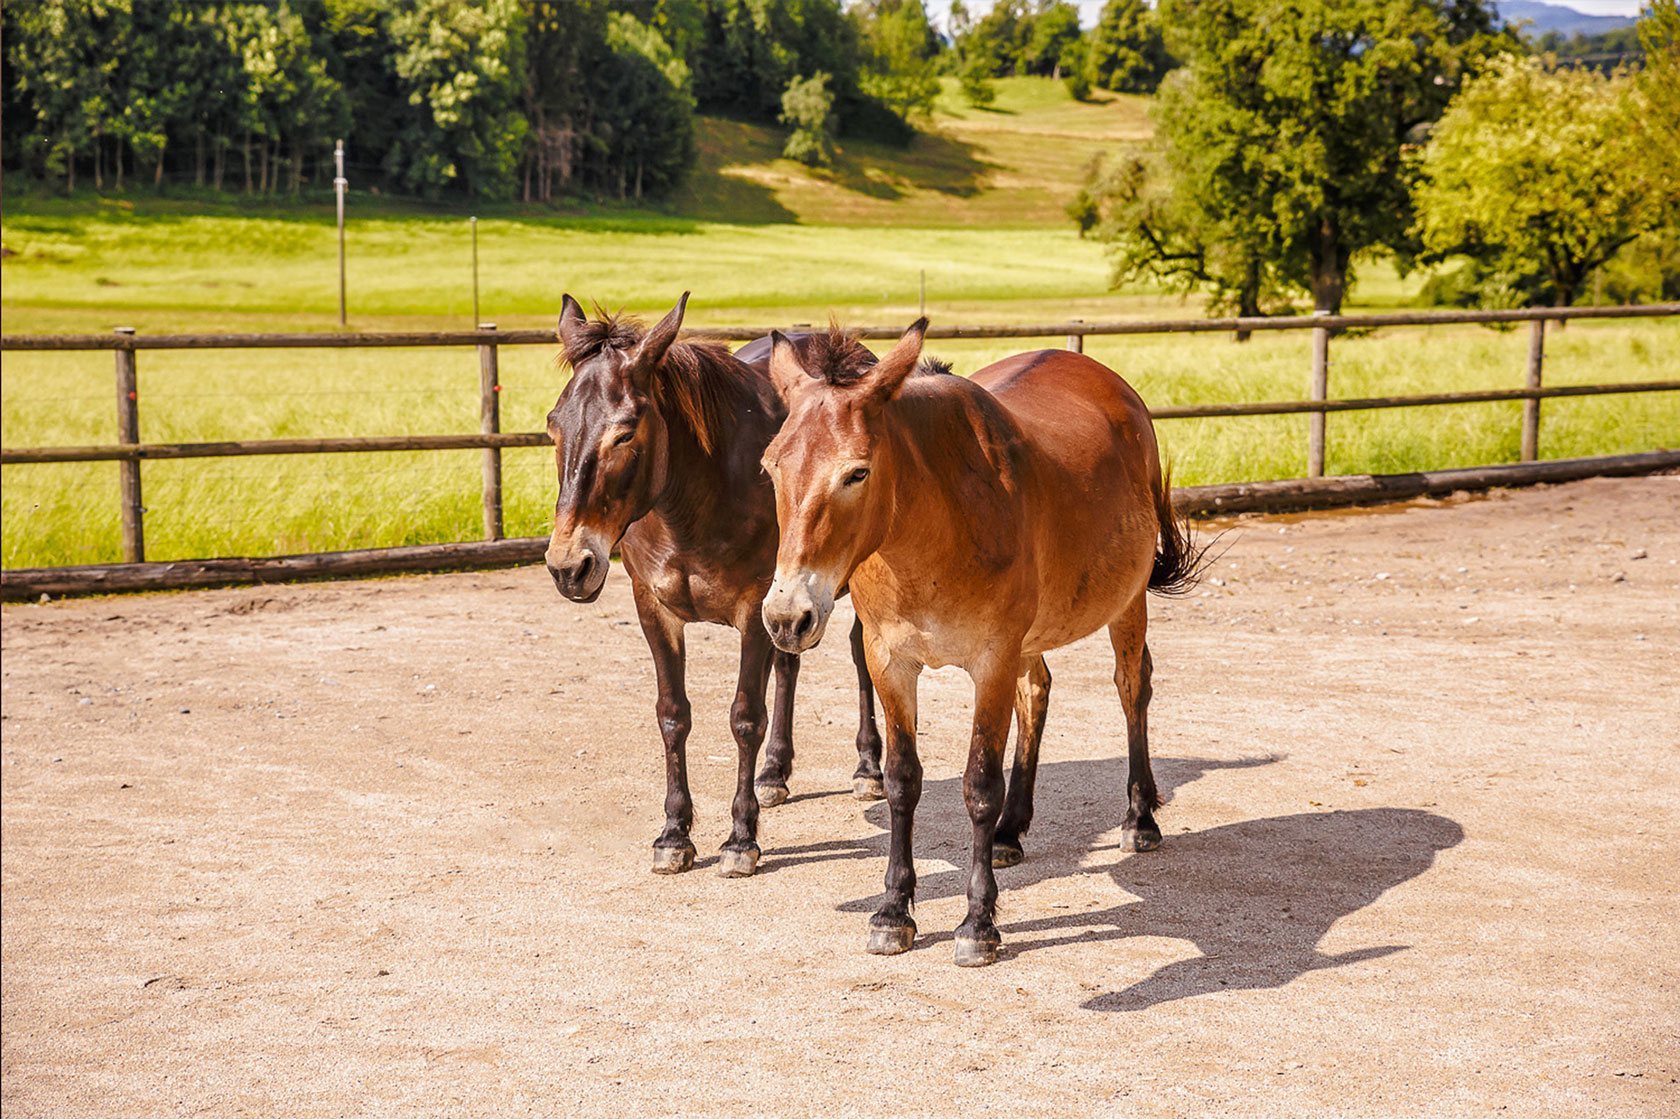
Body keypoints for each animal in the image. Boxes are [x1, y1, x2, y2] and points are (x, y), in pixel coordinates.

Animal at [543, 293, 886, 878]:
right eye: (553, 426)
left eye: (625, 431)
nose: (569, 566)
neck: (692, 500)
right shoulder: (655, 609)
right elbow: (672, 716)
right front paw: (674, 834)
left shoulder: (753, 610)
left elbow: (745, 717)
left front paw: (741, 838)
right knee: (788, 667)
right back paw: (773, 773)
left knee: (861, 656)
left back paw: (868, 768)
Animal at [758, 320, 1203, 966]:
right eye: (770, 468)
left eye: (856, 472)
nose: (787, 616)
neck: (932, 527)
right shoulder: (891, 663)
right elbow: (902, 781)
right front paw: (894, 911)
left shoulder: (990, 662)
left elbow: (978, 785)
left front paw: (978, 922)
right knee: (1037, 692)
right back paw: (1011, 832)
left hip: (1126, 605)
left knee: (1131, 688)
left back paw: (1139, 818)